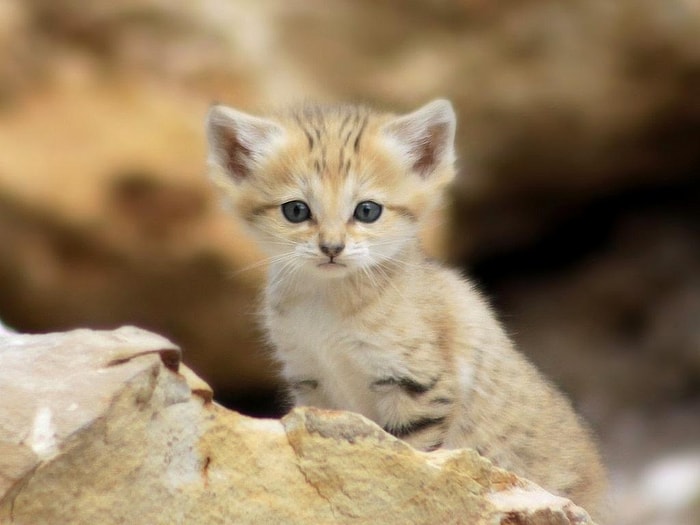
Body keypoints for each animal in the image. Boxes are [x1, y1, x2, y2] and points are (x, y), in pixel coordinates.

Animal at [204, 98, 608, 516]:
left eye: (367, 211)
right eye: (296, 211)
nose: (332, 248)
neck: (328, 301)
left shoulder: (417, 386)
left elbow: (406, 462)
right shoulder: (312, 386)